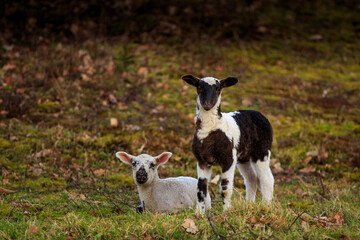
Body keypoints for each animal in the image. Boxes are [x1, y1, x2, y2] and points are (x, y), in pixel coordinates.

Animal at [181, 74, 274, 214]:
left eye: (218, 88)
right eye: (199, 87)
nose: (207, 104)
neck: (210, 128)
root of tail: (259, 113)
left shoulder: (228, 158)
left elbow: (225, 187)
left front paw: (226, 212)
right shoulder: (202, 160)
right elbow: (201, 188)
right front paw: (199, 214)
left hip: (261, 151)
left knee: (266, 178)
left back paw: (266, 206)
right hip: (243, 157)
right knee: (251, 178)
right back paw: (249, 205)